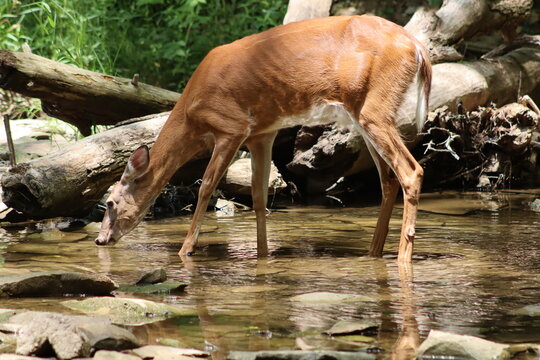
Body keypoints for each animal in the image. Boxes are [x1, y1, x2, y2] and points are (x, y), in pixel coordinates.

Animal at [95, 14, 432, 262]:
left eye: (110, 202)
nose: (100, 239)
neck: (192, 113)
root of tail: (417, 47)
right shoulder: (262, 133)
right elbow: (259, 196)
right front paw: (262, 254)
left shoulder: (231, 126)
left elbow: (206, 187)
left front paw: (185, 250)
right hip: (365, 116)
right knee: (388, 179)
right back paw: (373, 252)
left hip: (375, 108)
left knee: (411, 170)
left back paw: (403, 256)